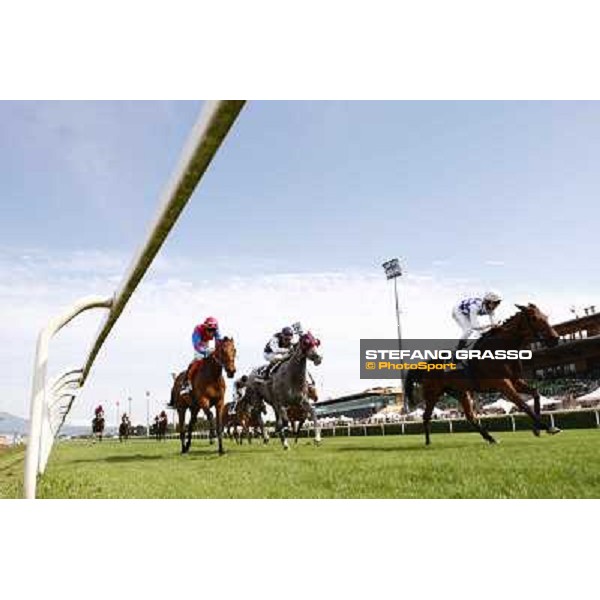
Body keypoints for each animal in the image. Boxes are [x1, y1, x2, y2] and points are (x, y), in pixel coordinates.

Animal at [404, 304, 564, 446]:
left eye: (545, 317)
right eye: (534, 318)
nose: (555, 338)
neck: (501, 348)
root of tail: (425, 365)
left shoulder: (515, 381)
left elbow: (536, 394)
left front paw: (537, 429)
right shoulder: (502, 383)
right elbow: (523, 404)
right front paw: (548, 427)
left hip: (461, 392)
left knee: (470, 417)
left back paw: (491, 438)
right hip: (433, 393)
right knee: (426, 416)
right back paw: (428, 441)